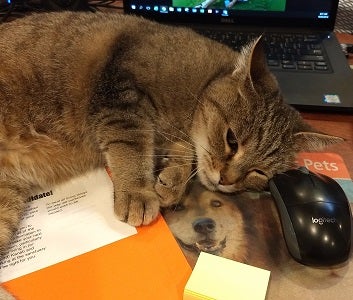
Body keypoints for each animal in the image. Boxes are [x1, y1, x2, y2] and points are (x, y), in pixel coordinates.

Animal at [0, 11, 340, 298]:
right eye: (231, 140)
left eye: (259, 173)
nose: (226, 180)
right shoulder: (120, 94)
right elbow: (132, 145)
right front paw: (138, 191)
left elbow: (181, 154)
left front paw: (171, 181)